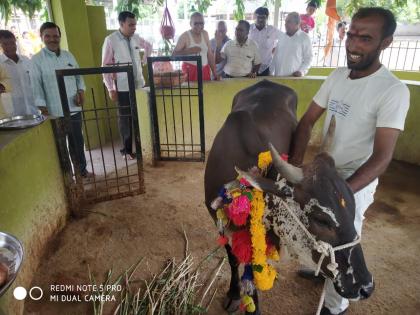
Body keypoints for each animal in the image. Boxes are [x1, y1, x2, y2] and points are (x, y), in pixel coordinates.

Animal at [203, 81, 374, 314]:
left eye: (353, 207)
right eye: (321, 219)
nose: (366, 286)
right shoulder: (219, 221)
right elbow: (233, 260)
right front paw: (234, 294)